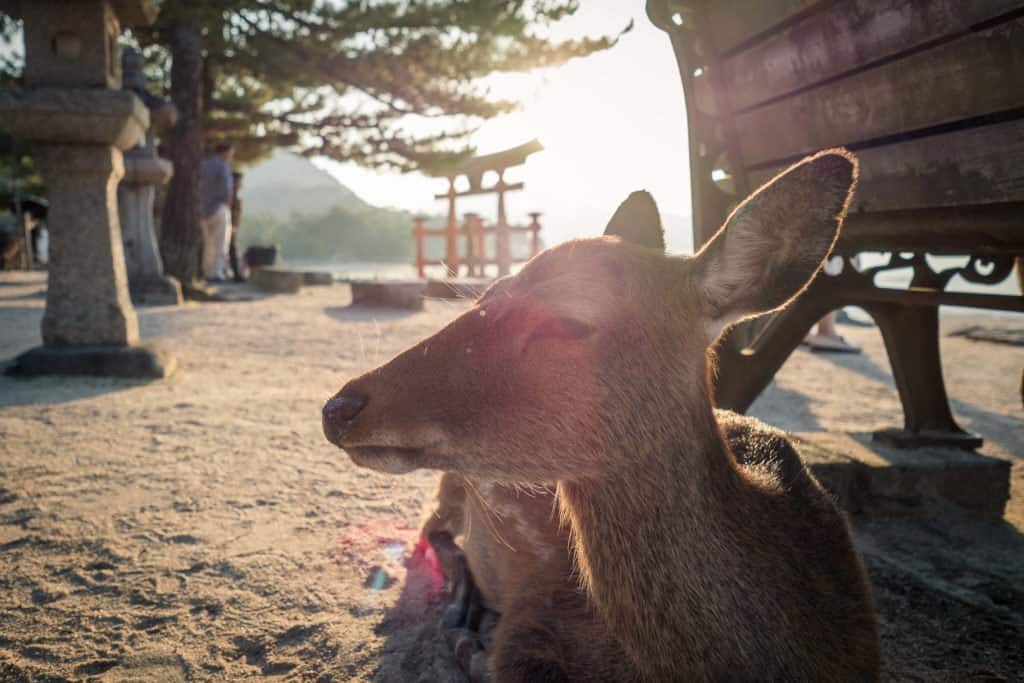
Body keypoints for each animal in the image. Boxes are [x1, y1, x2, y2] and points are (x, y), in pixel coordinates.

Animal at [325, 150, 880, 683]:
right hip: (451, 484)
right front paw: (470, 641)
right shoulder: (537, 611)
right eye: (486, 294)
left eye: (568, 320)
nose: (339, 408)